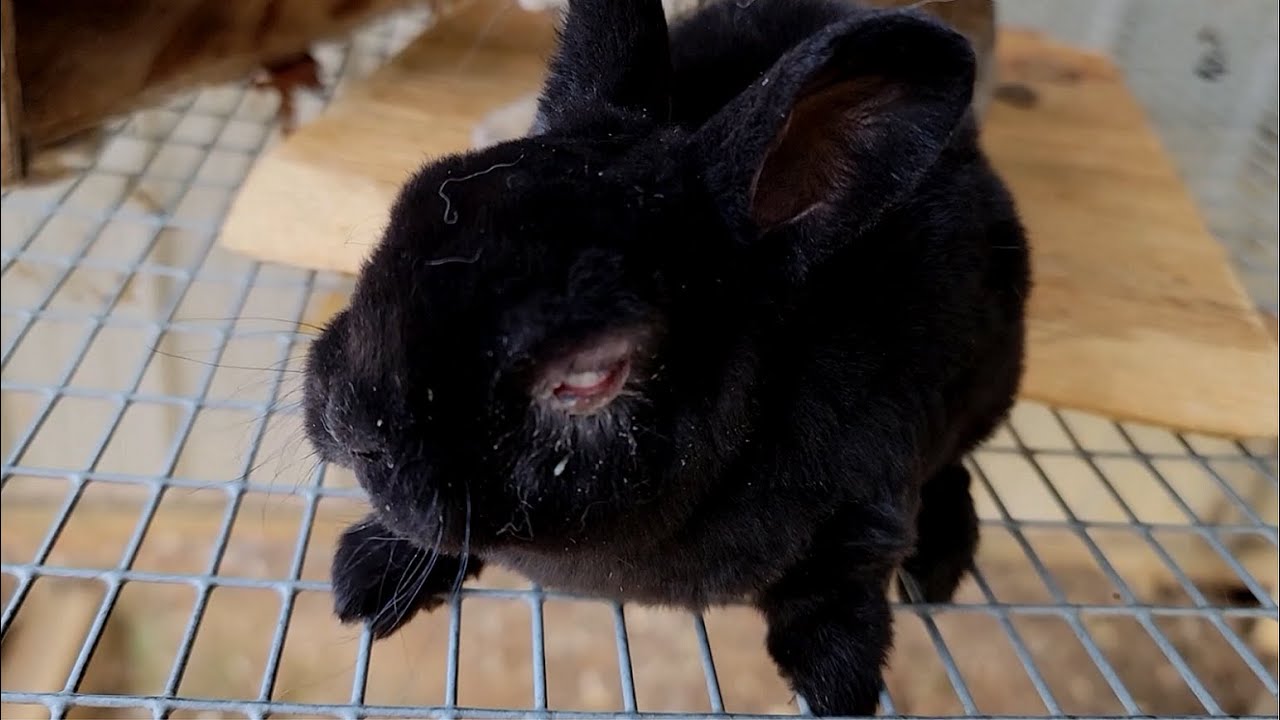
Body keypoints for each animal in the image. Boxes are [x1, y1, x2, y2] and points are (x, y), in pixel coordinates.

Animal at [305, 0, 1030, 714]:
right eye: (415, 200)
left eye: (589, 373)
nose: (351, 424)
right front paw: (371, 573)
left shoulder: (870, 509)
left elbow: (837, 595)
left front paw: (837, 683)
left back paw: (939, 563)